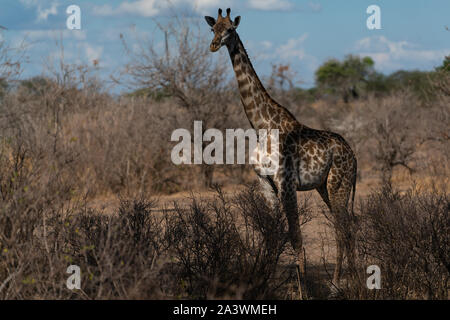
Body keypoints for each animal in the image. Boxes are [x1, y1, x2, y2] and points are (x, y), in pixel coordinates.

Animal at [205, 8, 358, 298]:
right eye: (212, 29)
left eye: (230, 29)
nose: (214, 45)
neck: (262, 126)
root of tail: (354, 156)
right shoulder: (265, 183)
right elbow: (272, 234)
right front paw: (264, 285)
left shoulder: (286, 183)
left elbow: (296, 237)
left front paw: (303, 292)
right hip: (324, 187)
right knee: (347, 224)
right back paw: (350, 281)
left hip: (339, 184)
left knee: (343, 227)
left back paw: (338, 285)